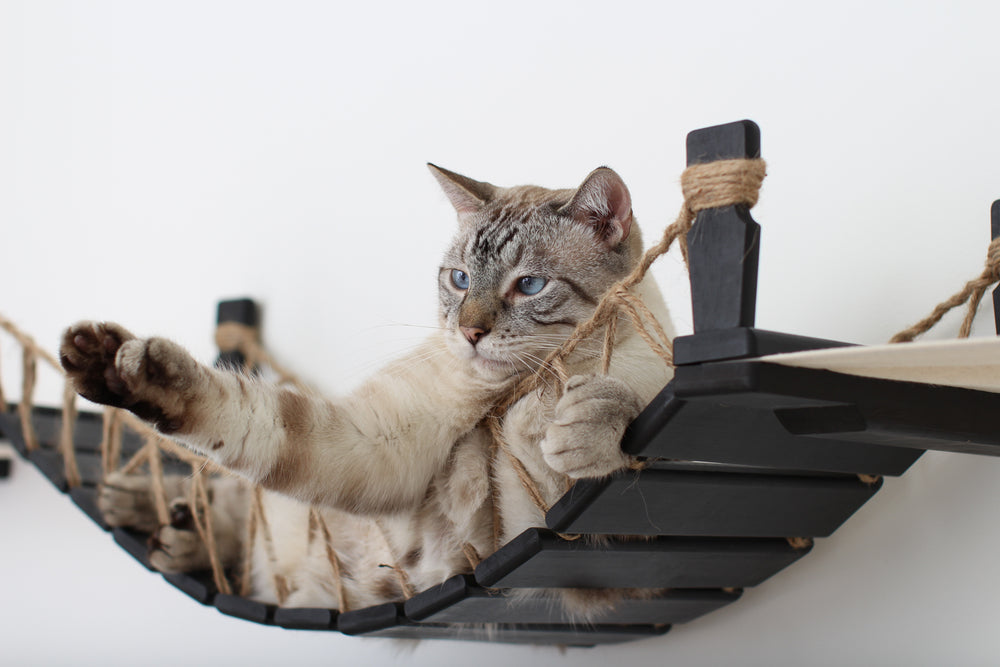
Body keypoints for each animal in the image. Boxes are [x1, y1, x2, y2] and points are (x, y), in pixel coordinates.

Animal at [60, 164, 672, 624]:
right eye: (459, 280)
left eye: (529, 286)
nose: (469, 333)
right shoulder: (375, 442)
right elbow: (230, 412)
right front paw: (121, 367)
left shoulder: (535, 536)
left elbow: (578, 435)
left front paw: (585, 422)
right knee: (230, 501)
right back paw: (139, 502)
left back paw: (172, 534)